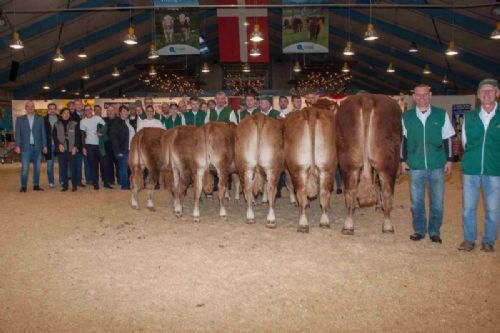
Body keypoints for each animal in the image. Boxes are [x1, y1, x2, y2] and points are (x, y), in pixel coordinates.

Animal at [286, 102, 336, 232]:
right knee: (322, 192)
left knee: (303, 193)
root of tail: (312, 111)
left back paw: (304, 223)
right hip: (326, 167)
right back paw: (322, 221)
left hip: (299, 168)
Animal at [336, 93, 402, 233]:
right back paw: (387, 224)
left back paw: (348, 225)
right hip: (388, 162)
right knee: (386, 190)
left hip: (349, 161)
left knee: (351, 190)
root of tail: (367, 98)